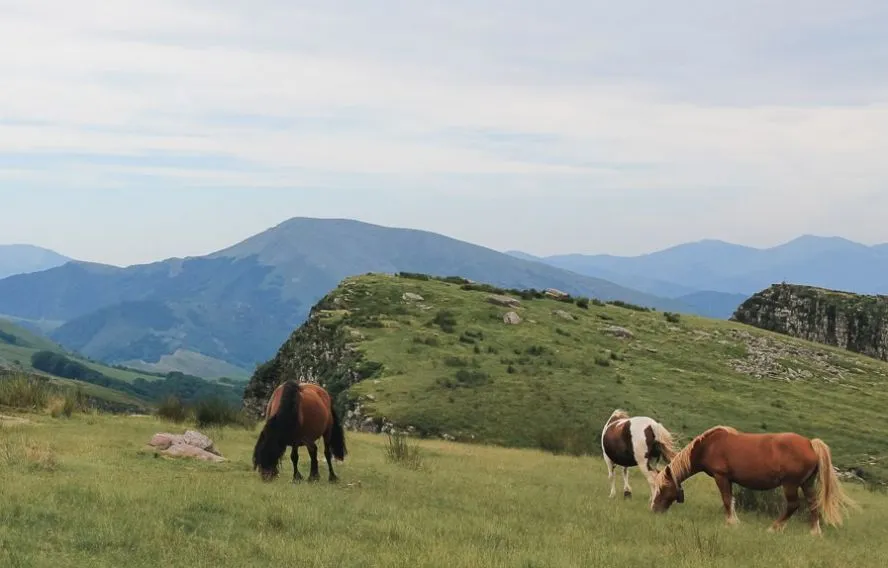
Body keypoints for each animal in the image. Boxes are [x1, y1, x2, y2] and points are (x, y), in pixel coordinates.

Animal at [650, 426, 858, 535]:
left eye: (662, 489)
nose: (654, 511)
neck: (709, 446)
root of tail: (810, 444)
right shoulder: (728, 479)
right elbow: (731, 500)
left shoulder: (721, 477)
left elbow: (727, 500)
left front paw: (731, 523)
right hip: (806, 483)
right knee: (813, 504)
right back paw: (814, 532)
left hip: (790, 484)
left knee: (793, 505)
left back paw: (773, 528)